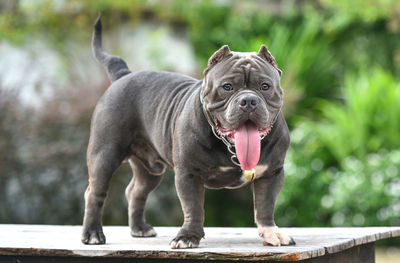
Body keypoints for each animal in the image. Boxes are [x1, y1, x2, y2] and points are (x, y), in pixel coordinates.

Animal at [81, 16, 294, 250]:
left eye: (265, 86)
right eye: (227, 87)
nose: (248, 101)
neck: (230, 148)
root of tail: (123, 76)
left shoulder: (271, 173)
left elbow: (265, 206)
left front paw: (271, 233)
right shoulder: (189, 174)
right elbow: (193, 208)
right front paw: (188, 236)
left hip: (150, 170)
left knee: (136, 191)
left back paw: (140, 228)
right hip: (104, 155)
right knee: (95, 192)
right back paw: (92, 234)